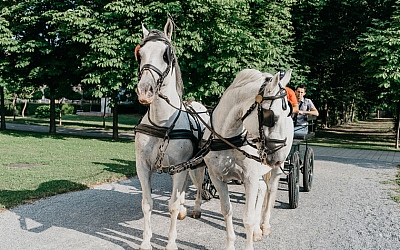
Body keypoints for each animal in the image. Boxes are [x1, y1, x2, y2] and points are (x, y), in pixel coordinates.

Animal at [135, 18, 209, 249]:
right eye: (140, 53)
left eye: (166, 54)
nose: (145, 91)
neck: (162, 124)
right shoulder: (143, 166)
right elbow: (147, 203)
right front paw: (146, 242)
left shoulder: (181, 166)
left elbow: (172, 206)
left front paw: (171, 243)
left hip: (197, 164)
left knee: (197, 184)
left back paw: (195, 208)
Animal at [203, 69, 294, 250]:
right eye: (272, 117)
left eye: (288, 113)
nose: (278, 159)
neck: (227, 139)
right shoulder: (217, 178)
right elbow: (227, 210)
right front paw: (230, 245)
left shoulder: (249, 178)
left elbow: (248, 218)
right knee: (263, 188)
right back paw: (258, 231)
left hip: (274, 171)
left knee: (271, 190)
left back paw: (264, 226)